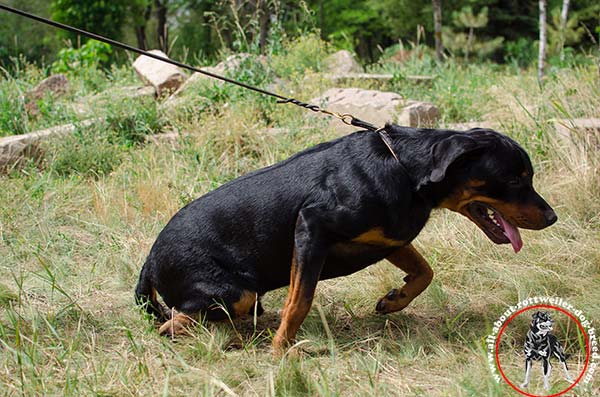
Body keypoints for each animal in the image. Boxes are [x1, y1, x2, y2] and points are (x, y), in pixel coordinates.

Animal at [135, 125, 556, 352]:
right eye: (516, 177)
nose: (552, 217)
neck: (404, 169)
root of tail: (150, 262)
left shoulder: (390, 237)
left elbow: (424, 271)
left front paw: (395, 299)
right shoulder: (311, 226)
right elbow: (299, 301)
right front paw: (282, 351)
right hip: (235, 293)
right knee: (172, 322)